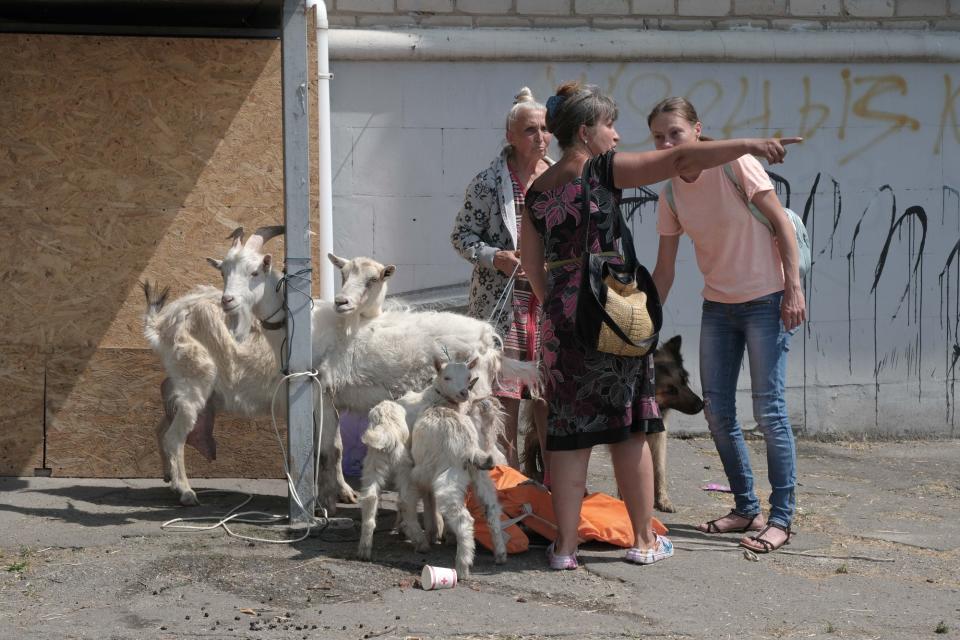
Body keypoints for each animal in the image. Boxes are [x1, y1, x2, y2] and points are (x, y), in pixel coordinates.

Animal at [142, 228, 390, 508]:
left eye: (255, 271)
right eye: (223, 271)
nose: (227, 300)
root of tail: (163, 321)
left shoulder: (328, 402)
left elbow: (332, 443)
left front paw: (344, 491)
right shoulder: (320, 395)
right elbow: (331, 447)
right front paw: (333, 494)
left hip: (180, 380)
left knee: (162, 424)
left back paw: (169, 478)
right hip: (194, 378)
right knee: (174, 437)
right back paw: (185, 491)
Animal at [524, 338, 704, 512]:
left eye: (684, 381)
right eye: (670, 390)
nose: (701, 405)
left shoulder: (658, 438)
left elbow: (659, 470)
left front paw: (663, 500)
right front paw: (623, 502)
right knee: (531, 438)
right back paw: (532, 470)